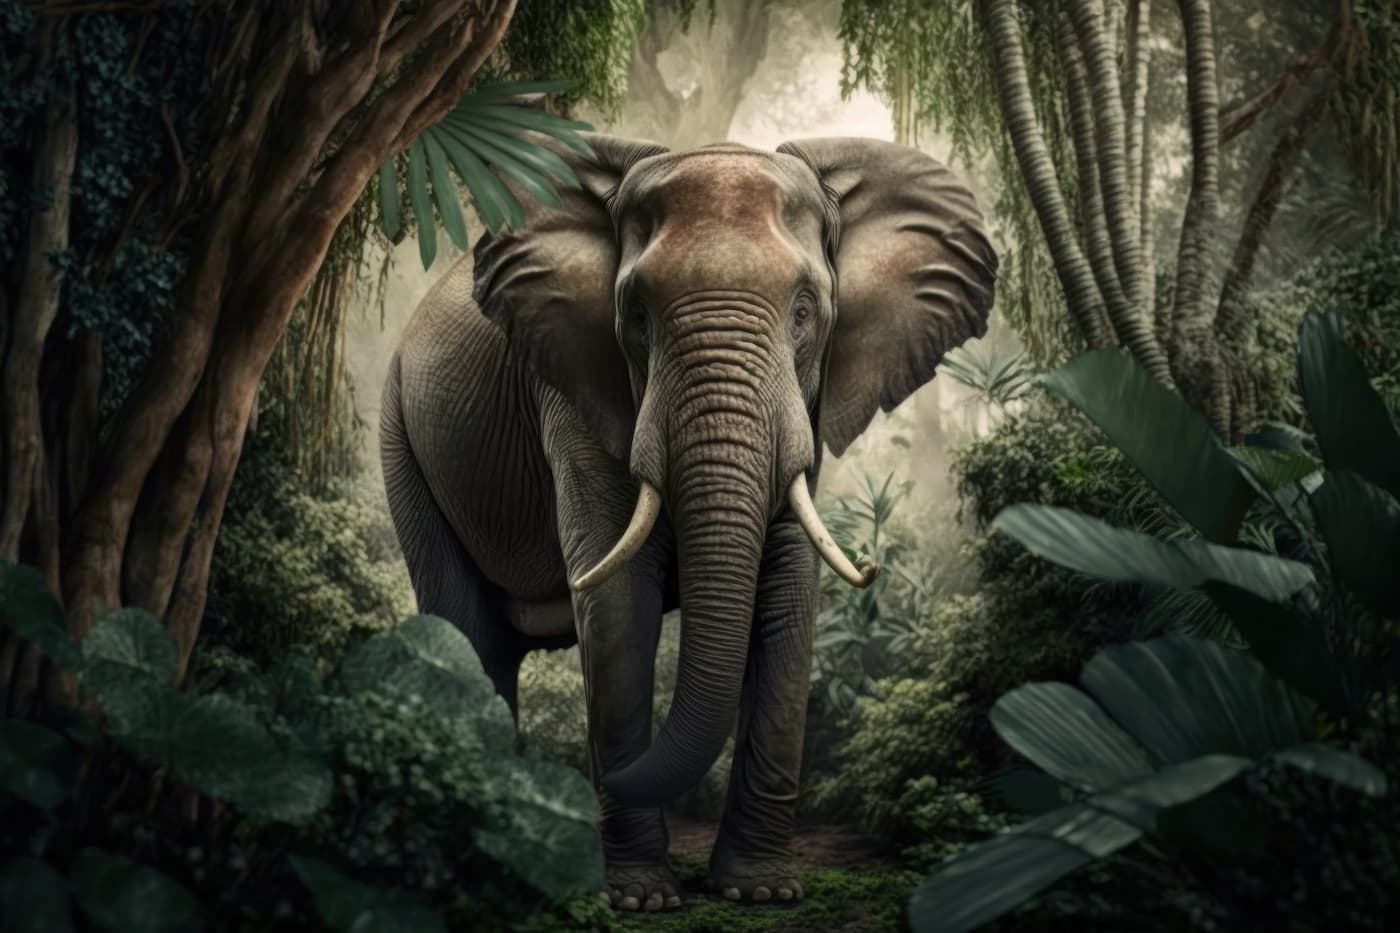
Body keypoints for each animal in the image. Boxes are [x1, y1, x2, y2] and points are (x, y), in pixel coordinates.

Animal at [380, 133, 997, 910]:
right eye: (637, 315)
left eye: (804, 312)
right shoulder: (576, 386)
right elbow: (618, 604)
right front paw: (643, 898)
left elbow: (787, 588)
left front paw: (761, 892)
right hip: (401, 431)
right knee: (468, 634)